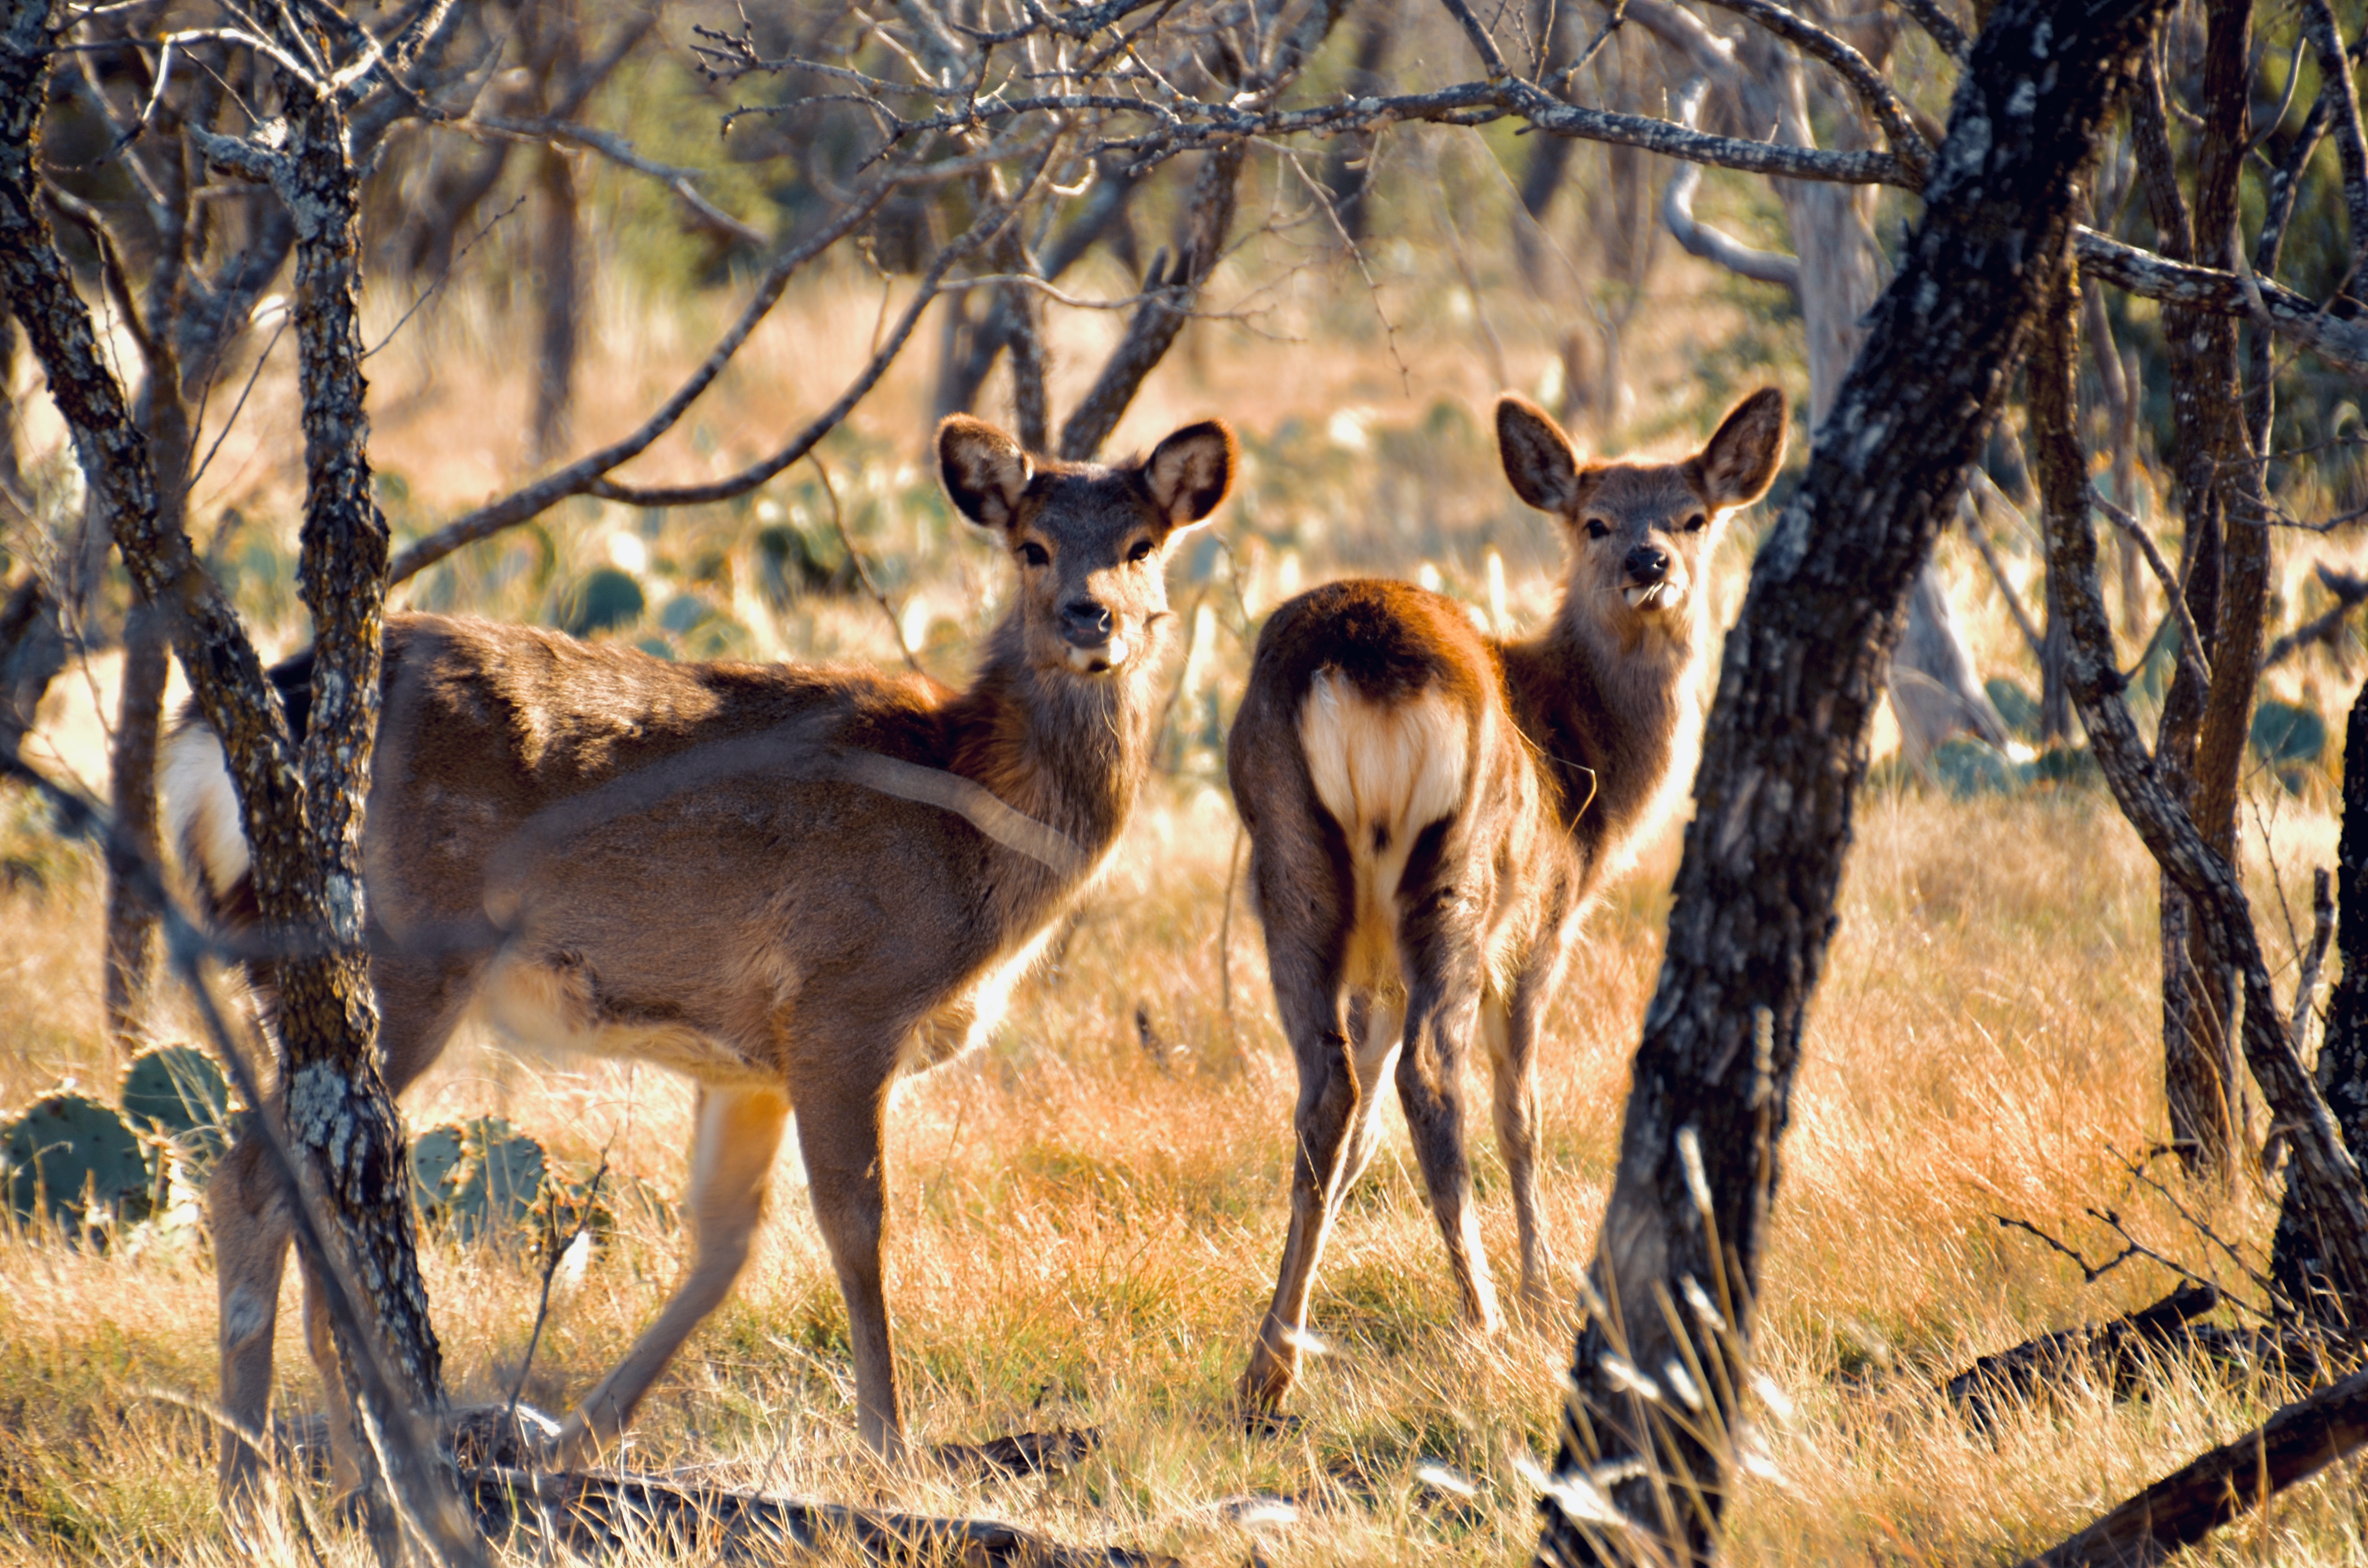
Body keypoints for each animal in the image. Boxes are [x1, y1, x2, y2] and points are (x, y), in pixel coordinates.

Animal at [163, 412, 1237, 1500]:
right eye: (1032, 545)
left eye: (1142, 544)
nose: (1090, 618)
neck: (969, 824)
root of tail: (212, 742)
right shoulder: (845, 999)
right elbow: (857, 1225)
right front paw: (887, 1448)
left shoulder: (749, 1058)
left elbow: (725, 1245)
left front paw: (580, 1438)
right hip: (397, 955)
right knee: (259, 1179)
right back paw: (278, 1478)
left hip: (302, 971)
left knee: (293, 1189)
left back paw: (318, 1467)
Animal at [1225, 387, 1786, 1410]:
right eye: (1594, 519)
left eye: (1692, 516)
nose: (1649, 563)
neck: (1584, 757)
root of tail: (1360, 659)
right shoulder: (1543, 926)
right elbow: (1521, 1110)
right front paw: (1538, 1289)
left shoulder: (1376, 974)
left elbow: (1357, 1138)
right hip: (1460, 875)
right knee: (1432, 1077)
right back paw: (1482, 1316)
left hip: (1289, 864)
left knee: (1327, 1091)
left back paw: (1268, 1366)